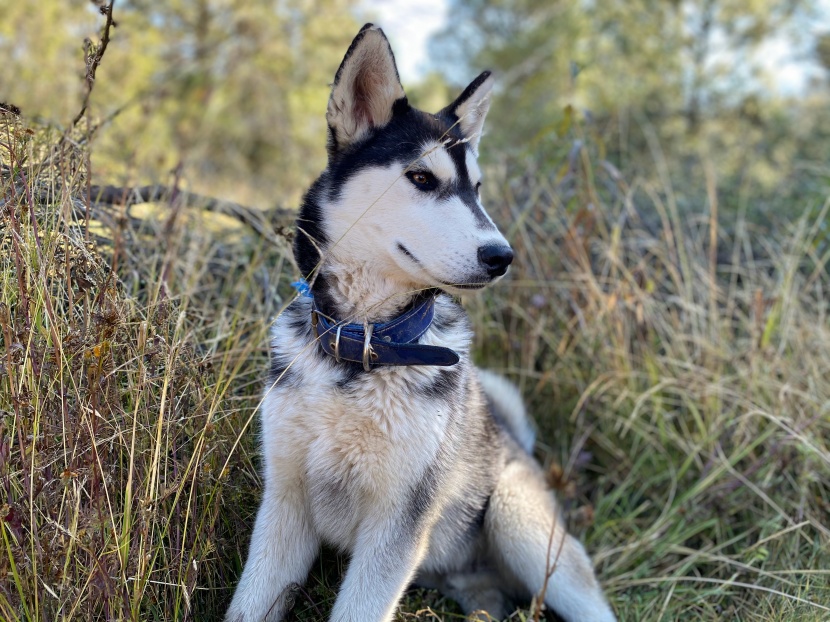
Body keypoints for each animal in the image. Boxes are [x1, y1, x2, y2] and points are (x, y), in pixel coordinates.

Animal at [228, 24, 616, 622]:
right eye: (420, 178)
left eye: (476, 189)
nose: (501, 256)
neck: (362, 348)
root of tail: (518, 445)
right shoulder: (284, 506)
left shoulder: (398, 522)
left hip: (516, 518)